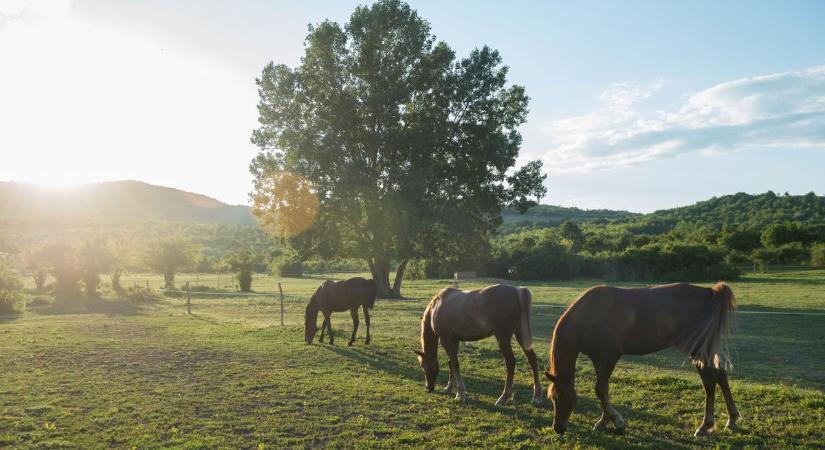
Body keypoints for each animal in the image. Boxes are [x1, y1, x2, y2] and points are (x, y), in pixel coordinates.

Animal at [412, 286, 540, 406]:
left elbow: (455, 364)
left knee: (511, 363)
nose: (428, 388)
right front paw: (449, 388)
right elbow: (451, 363)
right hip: (520, 335)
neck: (437, 305)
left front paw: (460, 393)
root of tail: (517, 291)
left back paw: (503, 397)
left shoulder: (446, 340)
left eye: (422, 365)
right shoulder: (455, 340)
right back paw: (536, 397)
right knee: (532, 359)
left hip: (503, 338)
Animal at [544, 282, 736, 436]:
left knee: (709, 382)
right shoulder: (597, 358)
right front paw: (604, 421)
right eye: (552, 399)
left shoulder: (610, 356)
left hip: (697, 349)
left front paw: (617, 422)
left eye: (562, 398)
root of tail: (709, 292)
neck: (589, 315)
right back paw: (732, 420)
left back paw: (705, 426)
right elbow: (603, 389)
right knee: (720, 374)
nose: (558, 428)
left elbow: (600, 389)